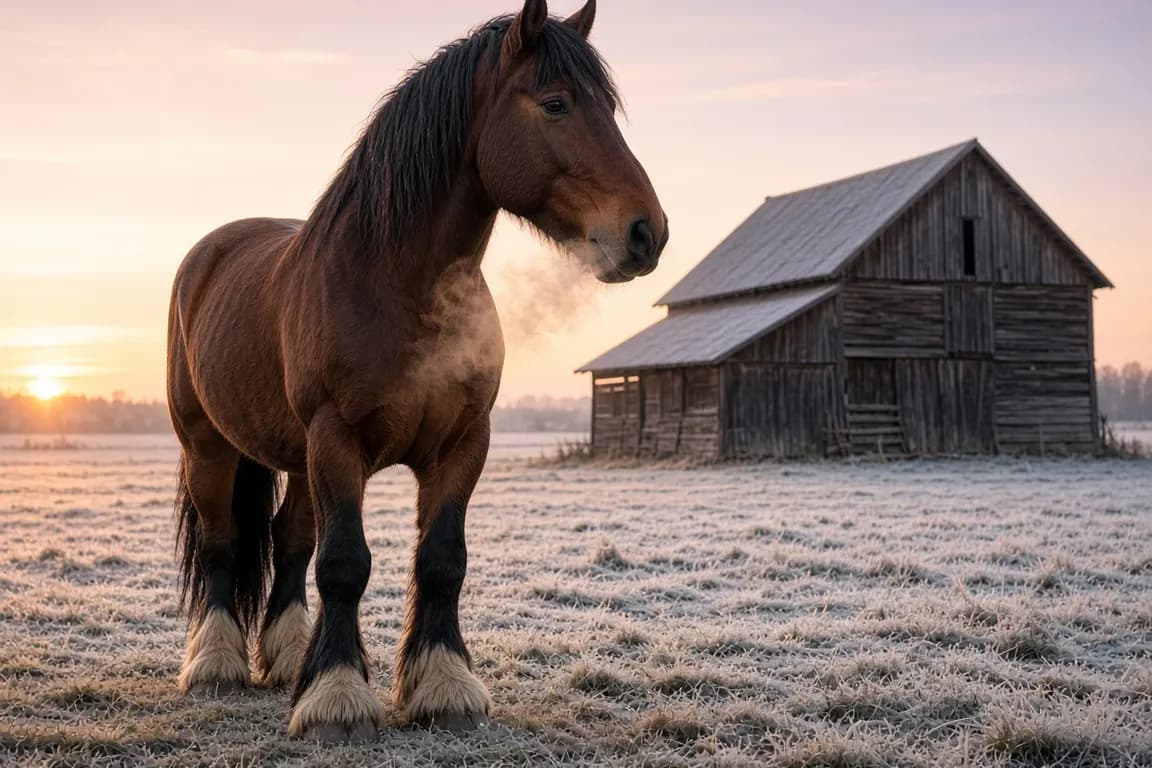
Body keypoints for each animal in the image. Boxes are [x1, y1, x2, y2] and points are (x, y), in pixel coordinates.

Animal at [167, 0, 666, 743]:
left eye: (608, 106)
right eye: (555, 103)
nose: (646, 233)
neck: (398, 286)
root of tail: (211, 252)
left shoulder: (462, 444)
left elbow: (441, 560)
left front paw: (441, 687)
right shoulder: (337, 441)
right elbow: (345, 564)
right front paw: (338, 699)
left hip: (298, 459)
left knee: (289, 541)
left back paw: (286, 660)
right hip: (210, 445)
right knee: (224, 542)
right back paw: (216, 666)